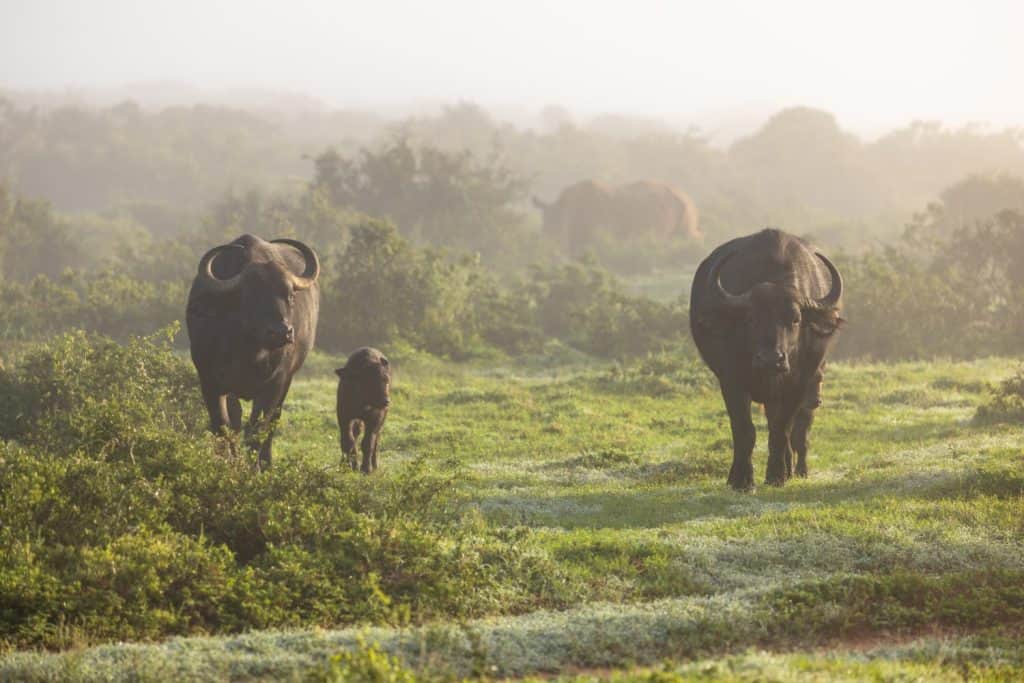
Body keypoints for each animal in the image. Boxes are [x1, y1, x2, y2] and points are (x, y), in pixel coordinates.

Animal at [186, 234, 320, 469]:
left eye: (290, 296)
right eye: (251, 297)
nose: (282, 332)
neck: (248, 351)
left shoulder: (275, 384)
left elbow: (258, 429)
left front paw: (254, 468)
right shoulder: (209, 381)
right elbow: (223, 426)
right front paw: (229, 464)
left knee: (272, 421)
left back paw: (266, 462)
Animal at [533, 180, 700, 257]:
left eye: (558, 229)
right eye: (543, 229)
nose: (547, 249)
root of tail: (687, 197)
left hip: (682, 208)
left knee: (685, 236)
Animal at [689, 228, 843, 490]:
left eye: (795, 319)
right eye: (751, 319)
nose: (771, 359)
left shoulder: (797, 384)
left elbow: (781, 429)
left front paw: (777, 475)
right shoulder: (731, 381)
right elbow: (744, 430)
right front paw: (741, 479)